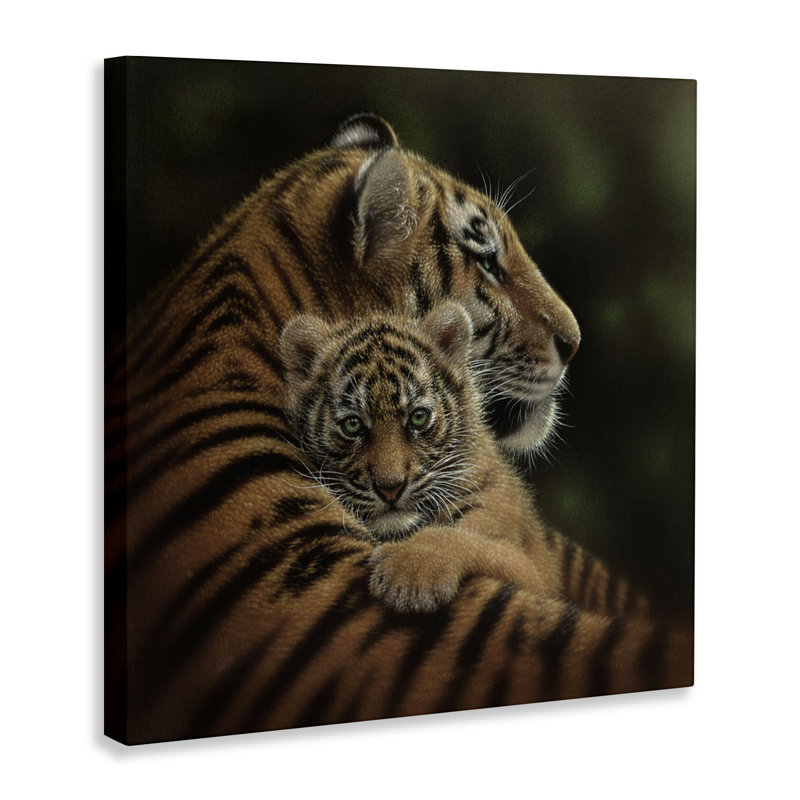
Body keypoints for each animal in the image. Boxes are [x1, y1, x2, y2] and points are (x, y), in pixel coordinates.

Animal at [280, 301, 562, 613]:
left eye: (418, 417)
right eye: (352, 424)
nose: (390, 489)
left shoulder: (531, 572)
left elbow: (471, 541)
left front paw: (409, 573)